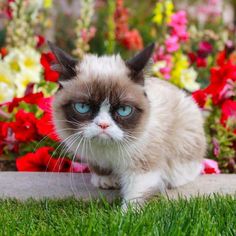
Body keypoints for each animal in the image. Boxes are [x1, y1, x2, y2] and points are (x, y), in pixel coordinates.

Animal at [49, 41, 206, 209]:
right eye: (83, 107)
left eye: (124, 110)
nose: (103, 125)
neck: (106, 151)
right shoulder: (93, 154)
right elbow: (100, 168)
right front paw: (105, 180)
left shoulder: (143, 167)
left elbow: (136, 198)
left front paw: (125, 214)